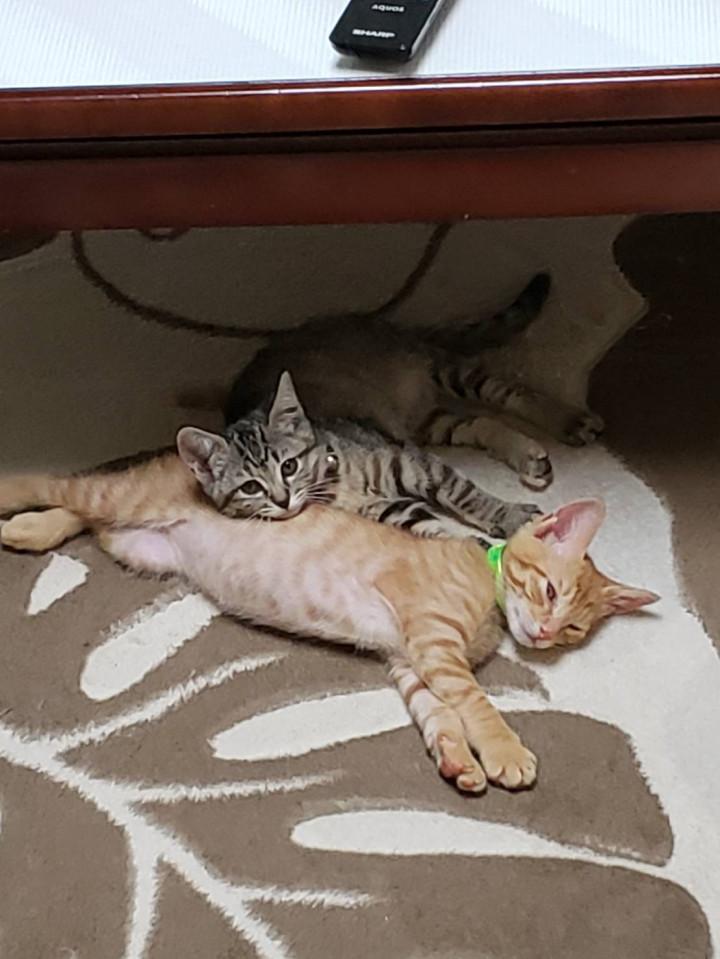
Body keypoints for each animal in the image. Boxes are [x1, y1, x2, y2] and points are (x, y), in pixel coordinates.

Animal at [0, 454, 658, 794]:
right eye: (547, 591)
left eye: (574, 630)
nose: (545, 635)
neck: (485, 575)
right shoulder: (435, 644)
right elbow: (477, 704)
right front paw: (503, 751)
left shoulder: (411, 660)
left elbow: (440, 714)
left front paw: (457, 760)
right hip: (128, 499)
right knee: (62, 483)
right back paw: (12, 492)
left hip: (139, 544)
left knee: (82, 517)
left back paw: (31, 529)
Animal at [74, 226, 603, 490]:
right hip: (426, 420)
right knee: (481, 424)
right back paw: (529, 456)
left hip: (444, 372)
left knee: (509, 393)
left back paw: (568, 421)